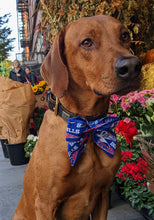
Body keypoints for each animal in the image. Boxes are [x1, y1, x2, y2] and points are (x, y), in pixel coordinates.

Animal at [12, 14, 141, 219]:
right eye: (86, 42)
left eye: (125, 35)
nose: (131, 66)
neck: (87, 123)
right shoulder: (45, 204)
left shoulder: (102, 195)